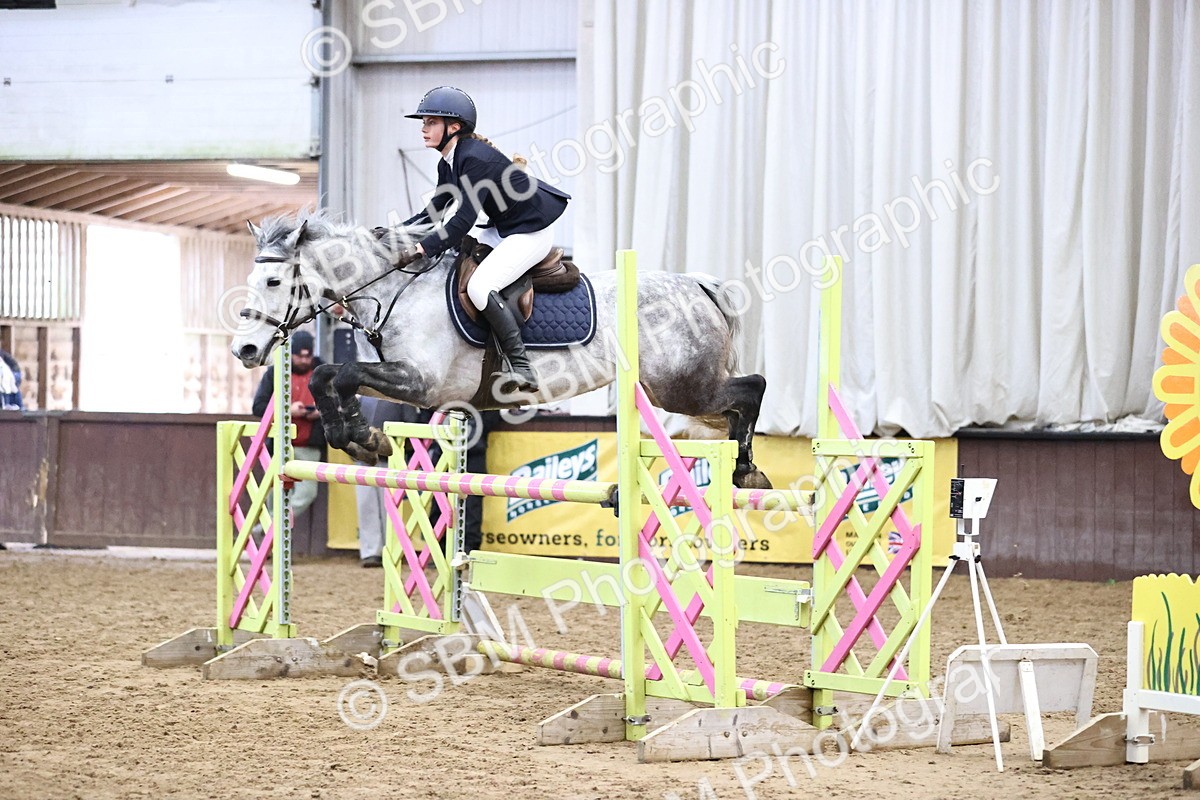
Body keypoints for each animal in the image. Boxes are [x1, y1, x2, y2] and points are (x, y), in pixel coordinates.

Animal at [230, 212, 772, 489]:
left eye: (274, 281)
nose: (245, 350)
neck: (397, 288)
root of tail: (697, 284)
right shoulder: (409, 381)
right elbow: (328, 375)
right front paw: (359, 438)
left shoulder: (422, 382)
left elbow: (341, 374)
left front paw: (365, 437)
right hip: (678, 392)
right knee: (737, 402)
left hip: (683, 389)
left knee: (752, 387)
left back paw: (747, 470)